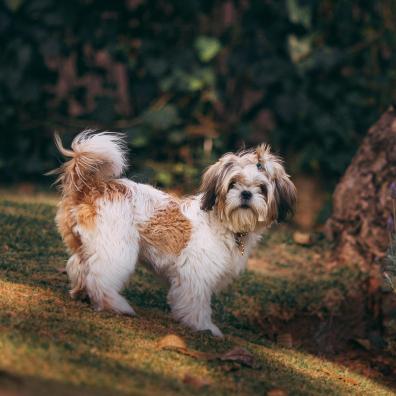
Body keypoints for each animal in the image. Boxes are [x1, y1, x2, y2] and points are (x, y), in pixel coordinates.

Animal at [51, 131, 296, 336]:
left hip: (89, 243)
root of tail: (92, 187)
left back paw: (82, 293)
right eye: (233, 183)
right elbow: (197, 303)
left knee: (79, 266)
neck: (225, 224)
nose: (246, 194)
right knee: (99, 277)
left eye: (262, 189)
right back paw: (116, 305)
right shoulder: (196, 274)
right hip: (117, 248)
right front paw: (204, 327)